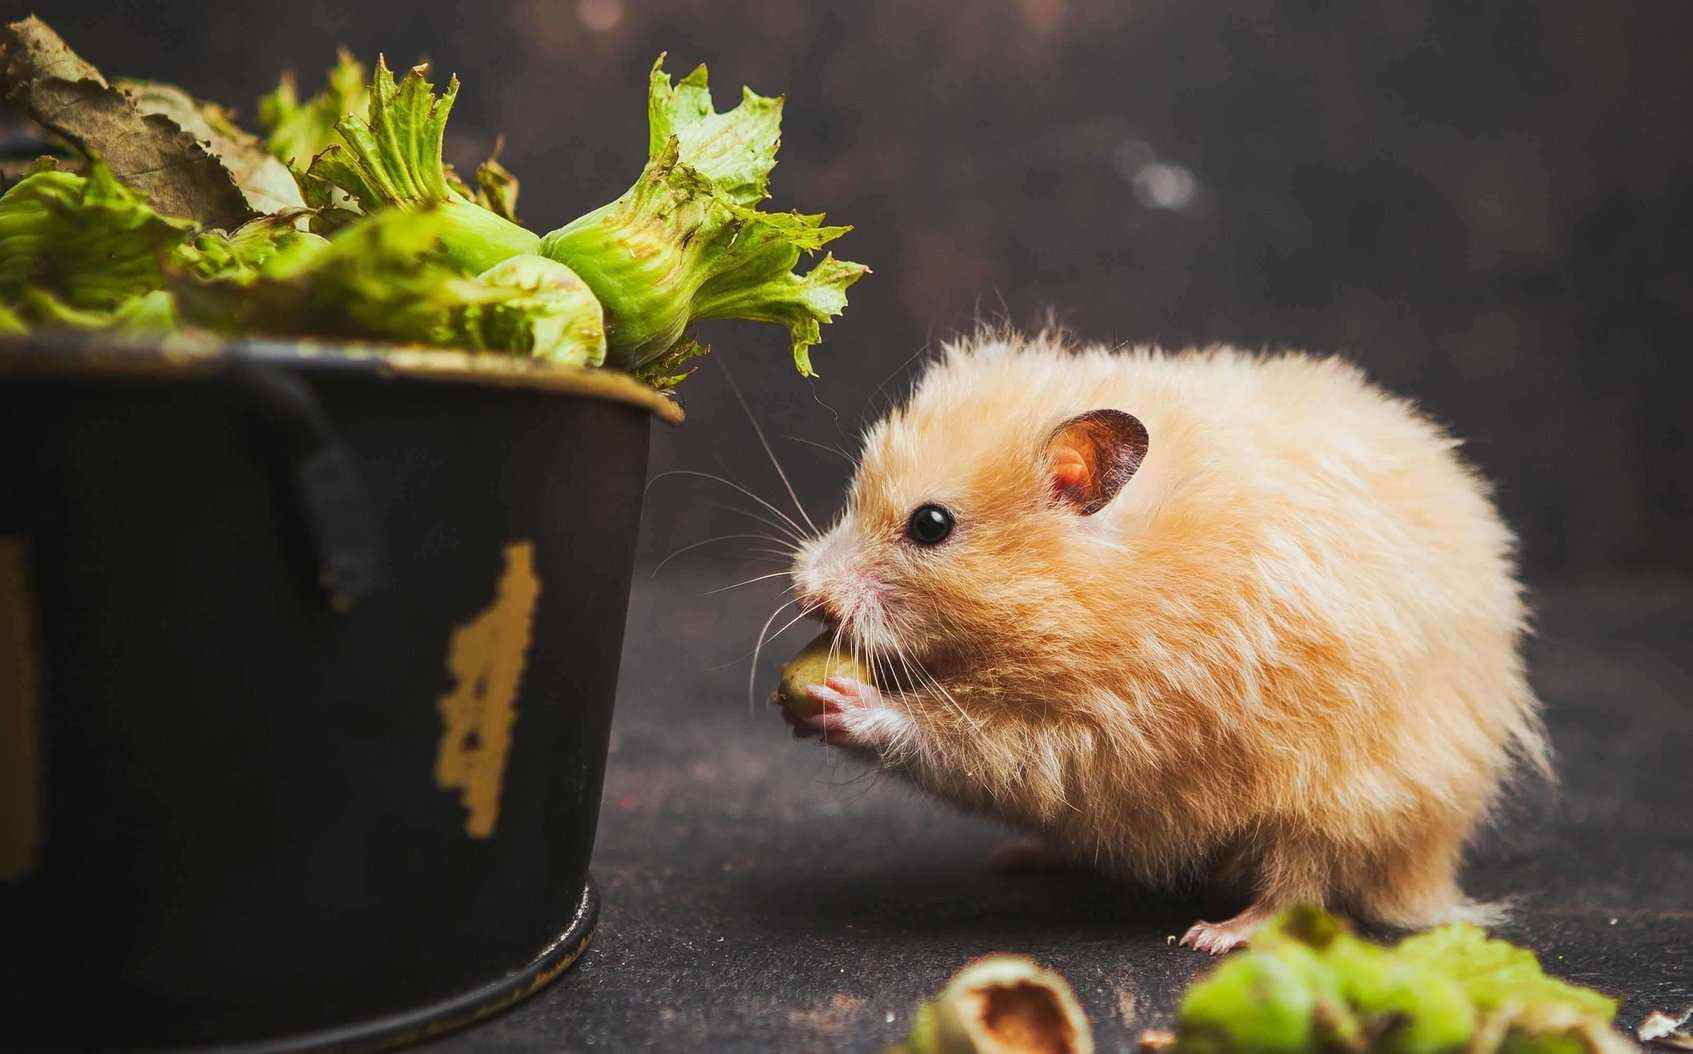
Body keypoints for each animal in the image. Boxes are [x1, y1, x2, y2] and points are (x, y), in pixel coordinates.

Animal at [781, 329, 1549, 954]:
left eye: (931, 525)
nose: (805, 589)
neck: (1107, 584)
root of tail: (1435, 869)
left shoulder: (1118, 724)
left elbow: (974, 744)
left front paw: (844, 704)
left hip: (1345, 791)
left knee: (1302, 880)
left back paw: (1215, 934)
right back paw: (1024, 857)